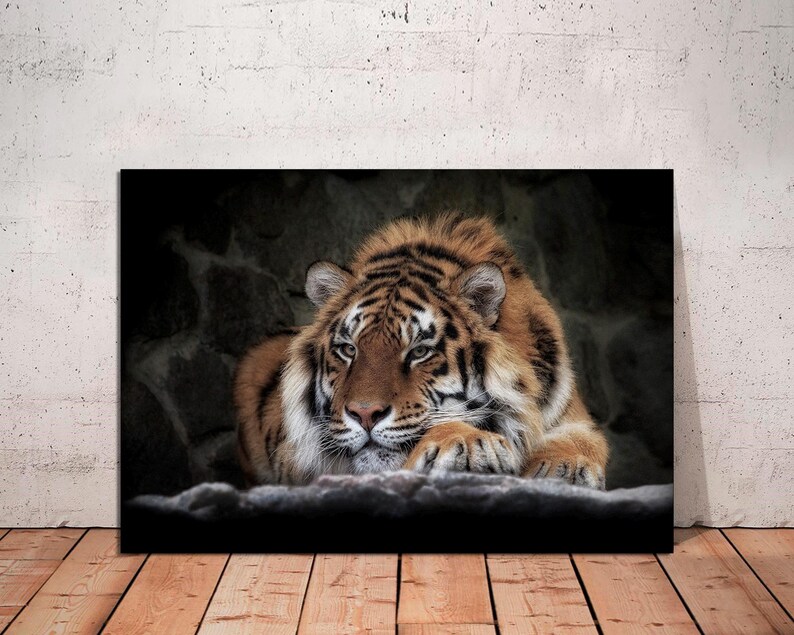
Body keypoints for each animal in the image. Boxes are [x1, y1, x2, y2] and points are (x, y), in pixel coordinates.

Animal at [234, 213, 608, 489]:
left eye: (419, 352)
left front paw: (564, 468)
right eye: (348, 349)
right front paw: (468, 443)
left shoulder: (572, 415)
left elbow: (582, 441)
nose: (364, 414)